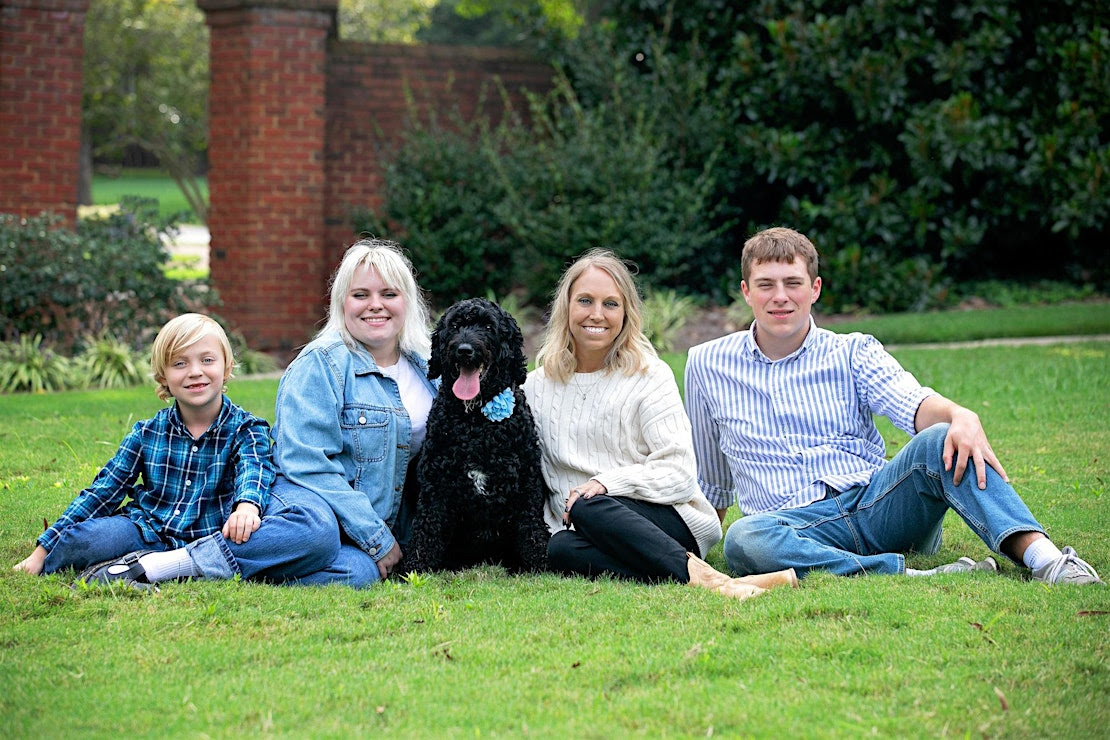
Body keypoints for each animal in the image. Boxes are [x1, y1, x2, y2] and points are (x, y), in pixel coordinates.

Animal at [404, 297, 550, 576]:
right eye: (455, 326)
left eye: (489, 327)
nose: (464, 350)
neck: (476, 423)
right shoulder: (435, 486)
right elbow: (427, 530)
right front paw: (416, 569)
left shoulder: (526, 484)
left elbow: (532, 530)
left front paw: (540, 566)